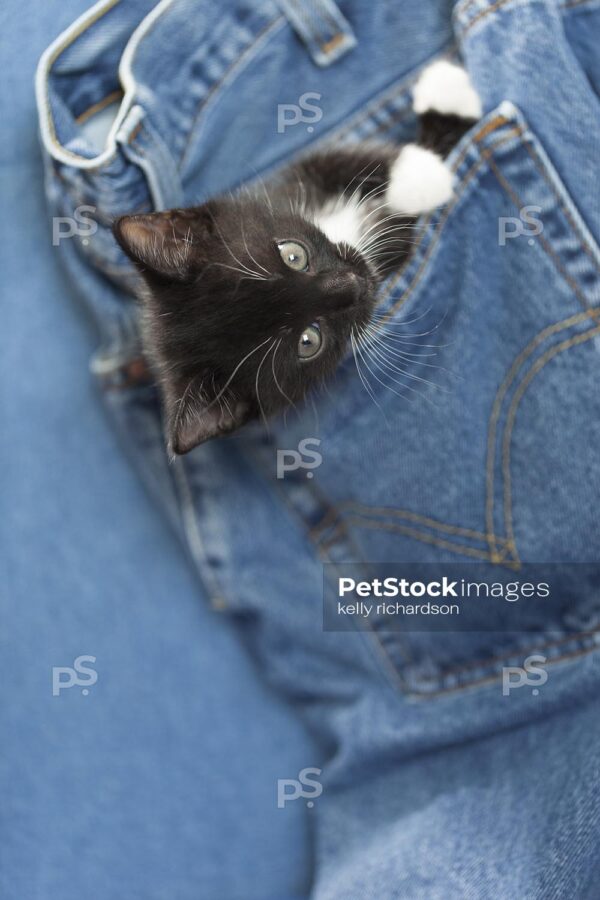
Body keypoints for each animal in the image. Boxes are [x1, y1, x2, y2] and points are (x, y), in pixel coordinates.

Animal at [111, 60, 478, 454]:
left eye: (292, 255)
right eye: (308, 342)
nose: (353, 284)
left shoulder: (292, 178)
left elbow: (353, 157)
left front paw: (444, 104)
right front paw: (425, 179)